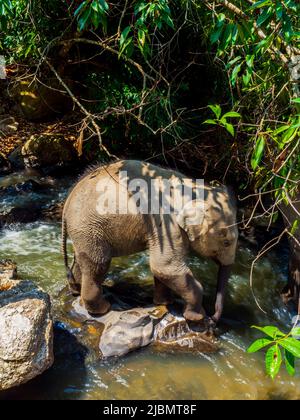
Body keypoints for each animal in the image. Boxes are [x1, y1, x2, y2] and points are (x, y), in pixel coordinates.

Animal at [62, 159, 238, 324]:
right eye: (226, 242)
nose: (213, 318)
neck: (193, 188)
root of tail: (66, 202)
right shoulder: (166, 223)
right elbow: (164, 267)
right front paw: (196, 317)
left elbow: (163, 269)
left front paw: (164, 303)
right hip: (89, 227)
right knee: (99, 264)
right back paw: (102, 309)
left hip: (83, 231)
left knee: (82, 260)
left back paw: (76, 291)